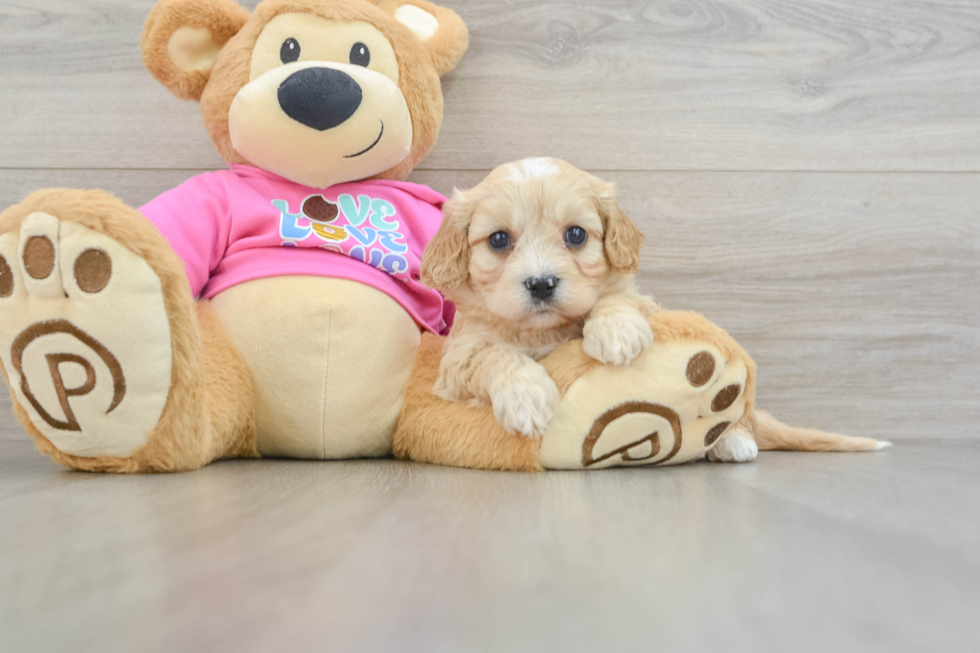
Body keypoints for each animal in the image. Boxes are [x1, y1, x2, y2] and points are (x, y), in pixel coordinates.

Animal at [418, 157, 656, 438]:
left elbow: (618, 296)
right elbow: (495, 354)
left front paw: (617, 330)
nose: (542, 284)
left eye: (576, 234)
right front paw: (525, 397)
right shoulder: (458, 359)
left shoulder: (642, 301)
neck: (541, 331)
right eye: (499, 239)